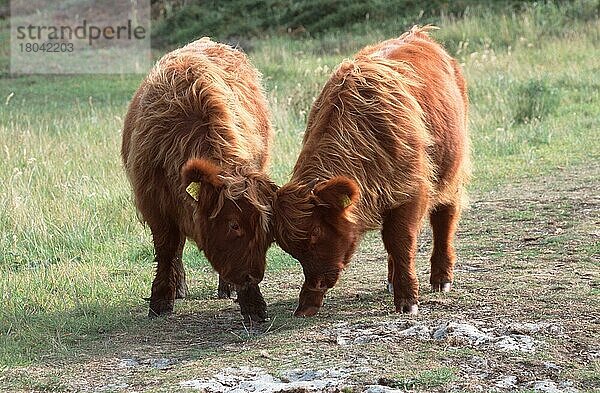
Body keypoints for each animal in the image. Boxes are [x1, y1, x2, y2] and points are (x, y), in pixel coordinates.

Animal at [122, 36, 276, 320]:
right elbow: (167, 247)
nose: (254, 275)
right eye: (233, 224)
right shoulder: (153, 201)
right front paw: (161, 300)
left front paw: (252, 304)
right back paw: (179, 288)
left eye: (264, 227)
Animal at [274, 26, 472, 316]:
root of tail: (419, 34)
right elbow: (392, 242)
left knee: (444, 218)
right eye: (292, 250)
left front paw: (407, 301)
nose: (318, 281)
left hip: (452, 172)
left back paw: (441, 278)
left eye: (315, 235)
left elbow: (401, 241)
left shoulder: (412, 190)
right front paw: (307, 303)